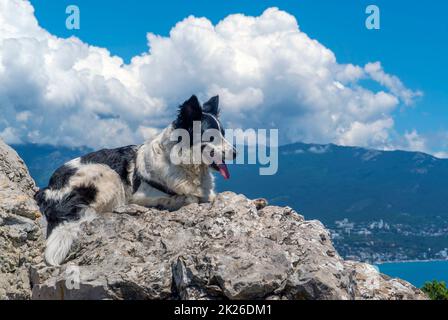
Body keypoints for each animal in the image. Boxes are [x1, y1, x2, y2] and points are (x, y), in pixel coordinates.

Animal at [36, 95, 236, 264]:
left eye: (224, 133)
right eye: (211, 136)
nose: (235, 153)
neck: (185, 165)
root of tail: (50, 188)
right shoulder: (139, 196)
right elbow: (189, 198)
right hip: (108, 175)